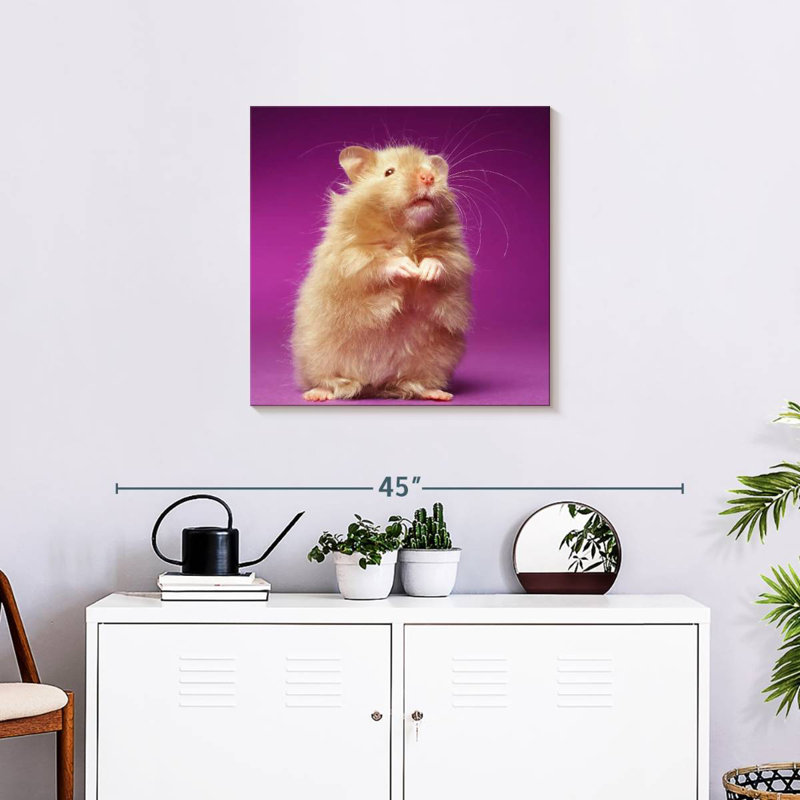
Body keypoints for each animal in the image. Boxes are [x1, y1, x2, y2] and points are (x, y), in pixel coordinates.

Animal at [291, 144, 474, 402]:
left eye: (429, 169)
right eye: (389, 172)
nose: (428, 177)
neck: (406, 229)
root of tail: (374, 384)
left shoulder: (455, 254)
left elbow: (442, 261)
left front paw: (424, 272)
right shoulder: (350, 258)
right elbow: (379, 262)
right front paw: (409, 267)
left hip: (436, 360)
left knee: (416, 385)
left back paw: (440, 395)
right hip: (318, 357)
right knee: (329, 382)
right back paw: (316, 395)